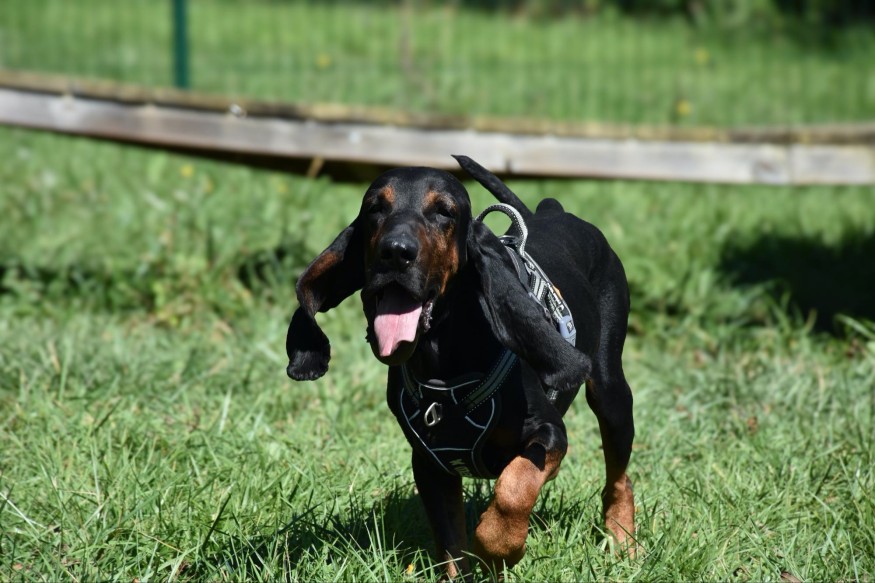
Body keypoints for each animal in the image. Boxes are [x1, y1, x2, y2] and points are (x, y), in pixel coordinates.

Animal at [286, 155, 636, 577]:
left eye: (444, 211)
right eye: (374, 208)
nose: (395, 252)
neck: (443, 362)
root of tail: (552, 211)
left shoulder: (549, 434)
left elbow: (514, 487)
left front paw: (498, 547)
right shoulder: (430, 463)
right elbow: (450, 540)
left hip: (611, 392)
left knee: (619, 478)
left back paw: (622, 541)